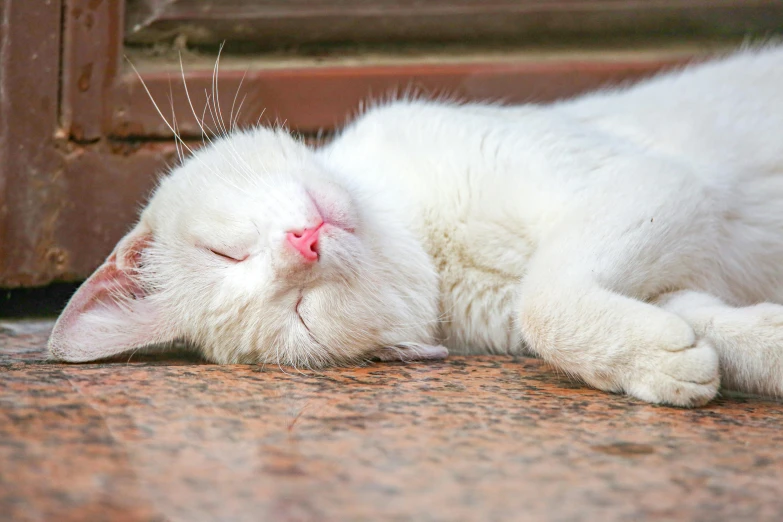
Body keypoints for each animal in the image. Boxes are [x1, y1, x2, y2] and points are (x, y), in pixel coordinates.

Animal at [47, 44, 783, 406]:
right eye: (299, 314)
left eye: (221, 252)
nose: (301, 246)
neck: (427, 236)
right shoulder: (659, 262)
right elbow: (686, 321)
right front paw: (674, 361)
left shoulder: (647, 181)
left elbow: (545, 300)